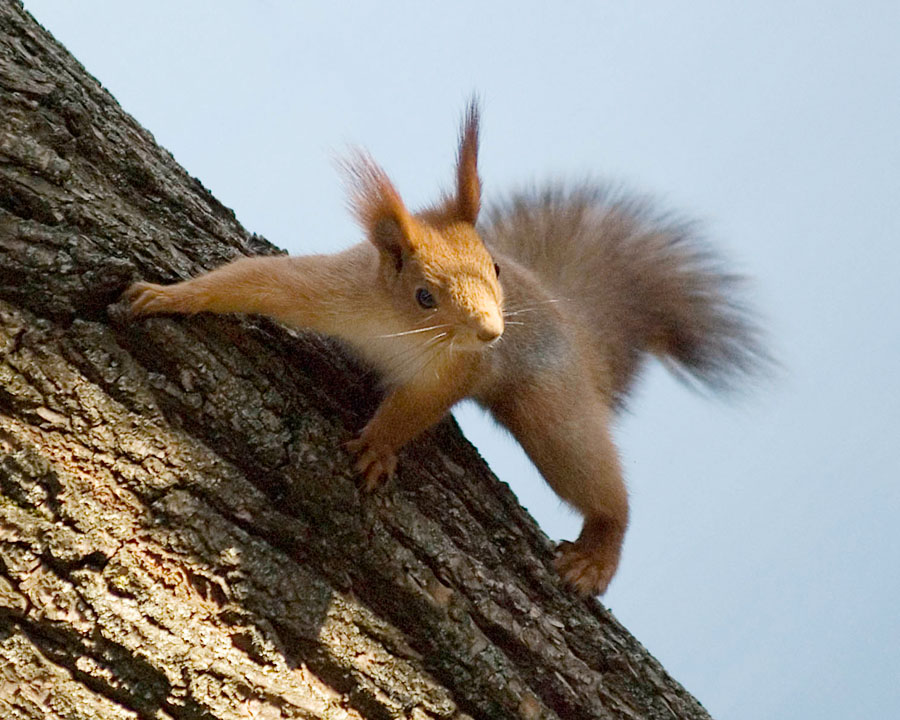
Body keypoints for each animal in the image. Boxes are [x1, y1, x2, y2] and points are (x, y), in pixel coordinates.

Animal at [123, 102, 764, 596]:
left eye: (495, 267)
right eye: (425, 295)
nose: (492, 331)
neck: (397, 328)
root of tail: (578, 335)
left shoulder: (458, 369)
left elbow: (418, 407)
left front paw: (378, 446)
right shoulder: (330, 292)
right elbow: (252, 280)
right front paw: (167, 296)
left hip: (551, 405)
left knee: (601, 485)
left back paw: (596, 555)